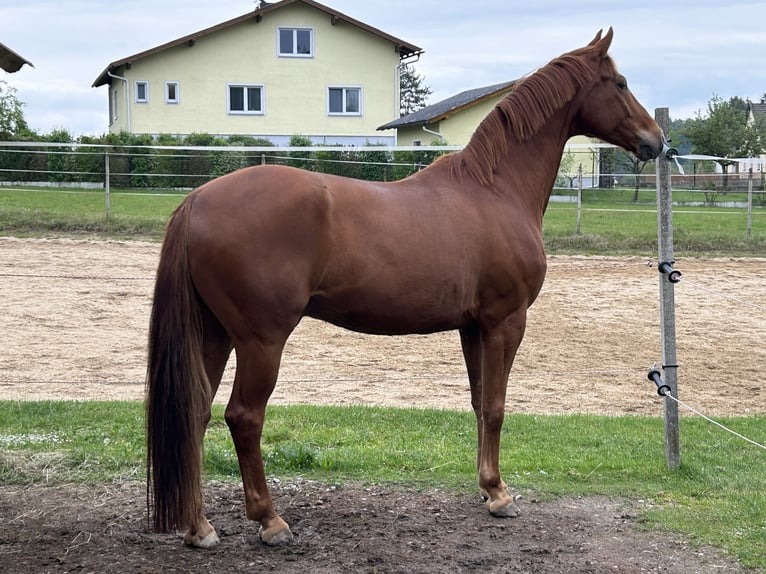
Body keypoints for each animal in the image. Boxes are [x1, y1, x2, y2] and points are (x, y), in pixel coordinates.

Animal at [146, 29, 664, 552]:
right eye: (620, 83)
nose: (656, 141)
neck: (495, 189)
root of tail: (197, 199)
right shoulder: (506, 321)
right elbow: (497, 406)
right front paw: (501, 496)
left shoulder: (473, 327)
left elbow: (479, 404)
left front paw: (486, 487)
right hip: (261, 341)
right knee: (244, 417)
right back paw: (269, 520)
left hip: (215, 333)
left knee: (195, 414)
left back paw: (199, 527)